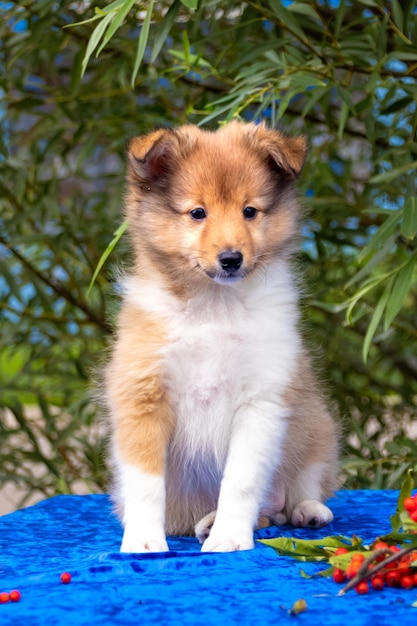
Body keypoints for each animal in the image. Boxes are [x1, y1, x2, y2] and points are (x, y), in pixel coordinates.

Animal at [105, 119, 338, 548]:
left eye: (250, 211)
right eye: (198, 213)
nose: (231, 259)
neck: (214, 306)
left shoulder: (261, 400)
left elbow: (241, 480)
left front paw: (229, 538)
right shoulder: (143, 394)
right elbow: (145, 482)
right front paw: (142, 542)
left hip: (316, 425)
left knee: (299, 486)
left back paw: (306, 510)